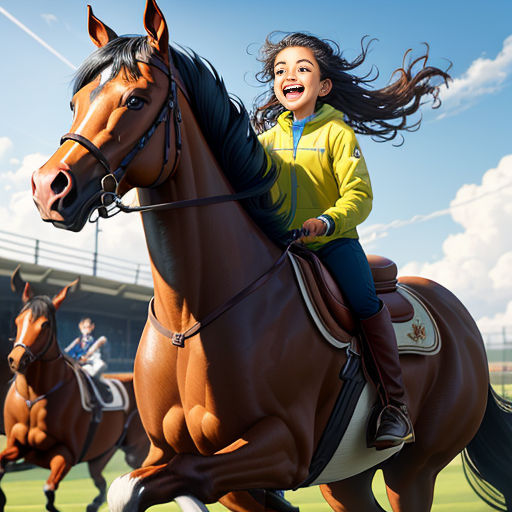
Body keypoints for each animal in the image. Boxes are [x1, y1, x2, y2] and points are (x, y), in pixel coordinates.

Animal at [0, 276, 148, 512]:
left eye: (45, 324)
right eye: (18, 320)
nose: (16, 359)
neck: (33, 396)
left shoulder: (65, 454)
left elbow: (49, 491)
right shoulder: (16, 445)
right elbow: (3, 464)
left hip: (136, 451)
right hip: (102, 454)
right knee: (101, 483)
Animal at [29, 2, 512, 510]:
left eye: (136, 100)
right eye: (76, 103)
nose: (49, 187)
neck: (192, 320)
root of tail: (458, 316)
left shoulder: (283, 446)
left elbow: (140, 485)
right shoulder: (181, 458)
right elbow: (145, 483)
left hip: (414, 468)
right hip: (345, 480)